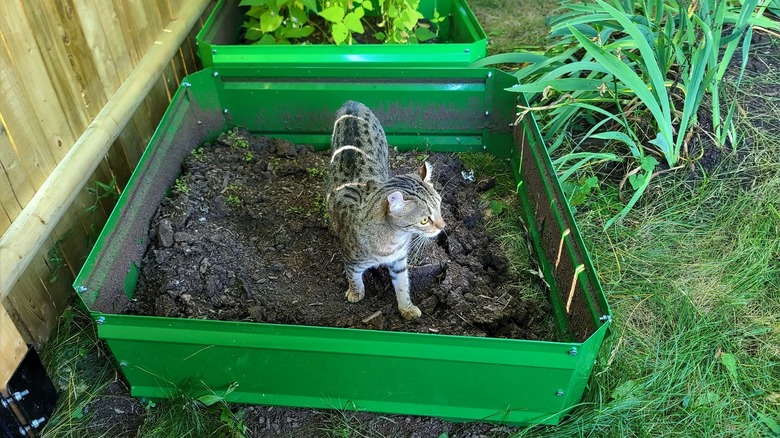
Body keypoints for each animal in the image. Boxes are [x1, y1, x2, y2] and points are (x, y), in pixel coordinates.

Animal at [324, 101, 444, 320]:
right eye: (424, 220)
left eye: (440, 206)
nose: (443, 226)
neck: (394, 239)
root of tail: (352, 103)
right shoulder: (350, 259)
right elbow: (353, 276)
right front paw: (356, 292)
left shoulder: (399, 261)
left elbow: (403, 284)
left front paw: (406, 307)